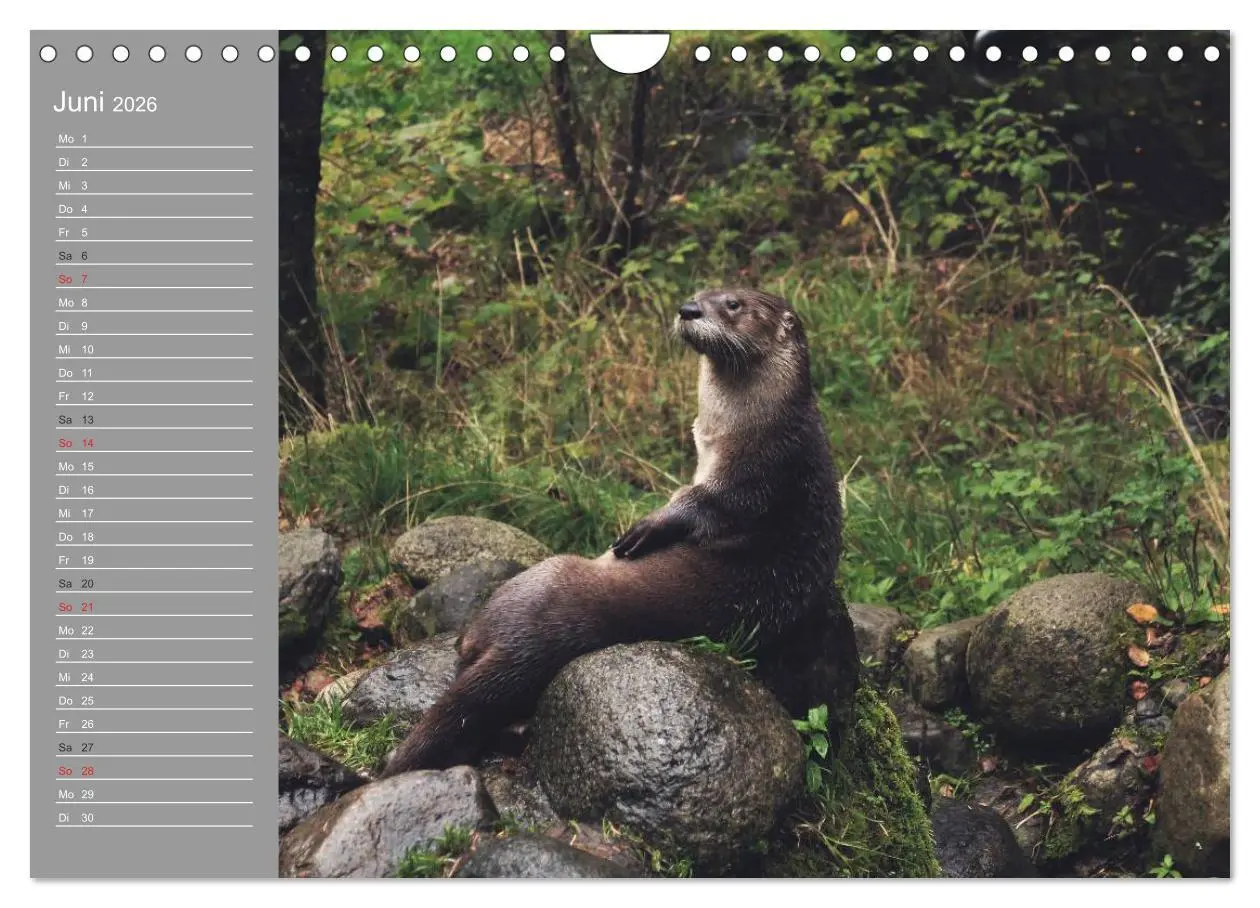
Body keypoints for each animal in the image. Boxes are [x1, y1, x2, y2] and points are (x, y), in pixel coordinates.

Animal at [380, 288, 843, 776]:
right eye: (700, 293)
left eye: (733, 304)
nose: (689, 310)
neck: (761, 424)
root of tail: (523, 647)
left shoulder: (758, 474)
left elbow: (705, 504)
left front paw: (647, 527)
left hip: (535, 580)